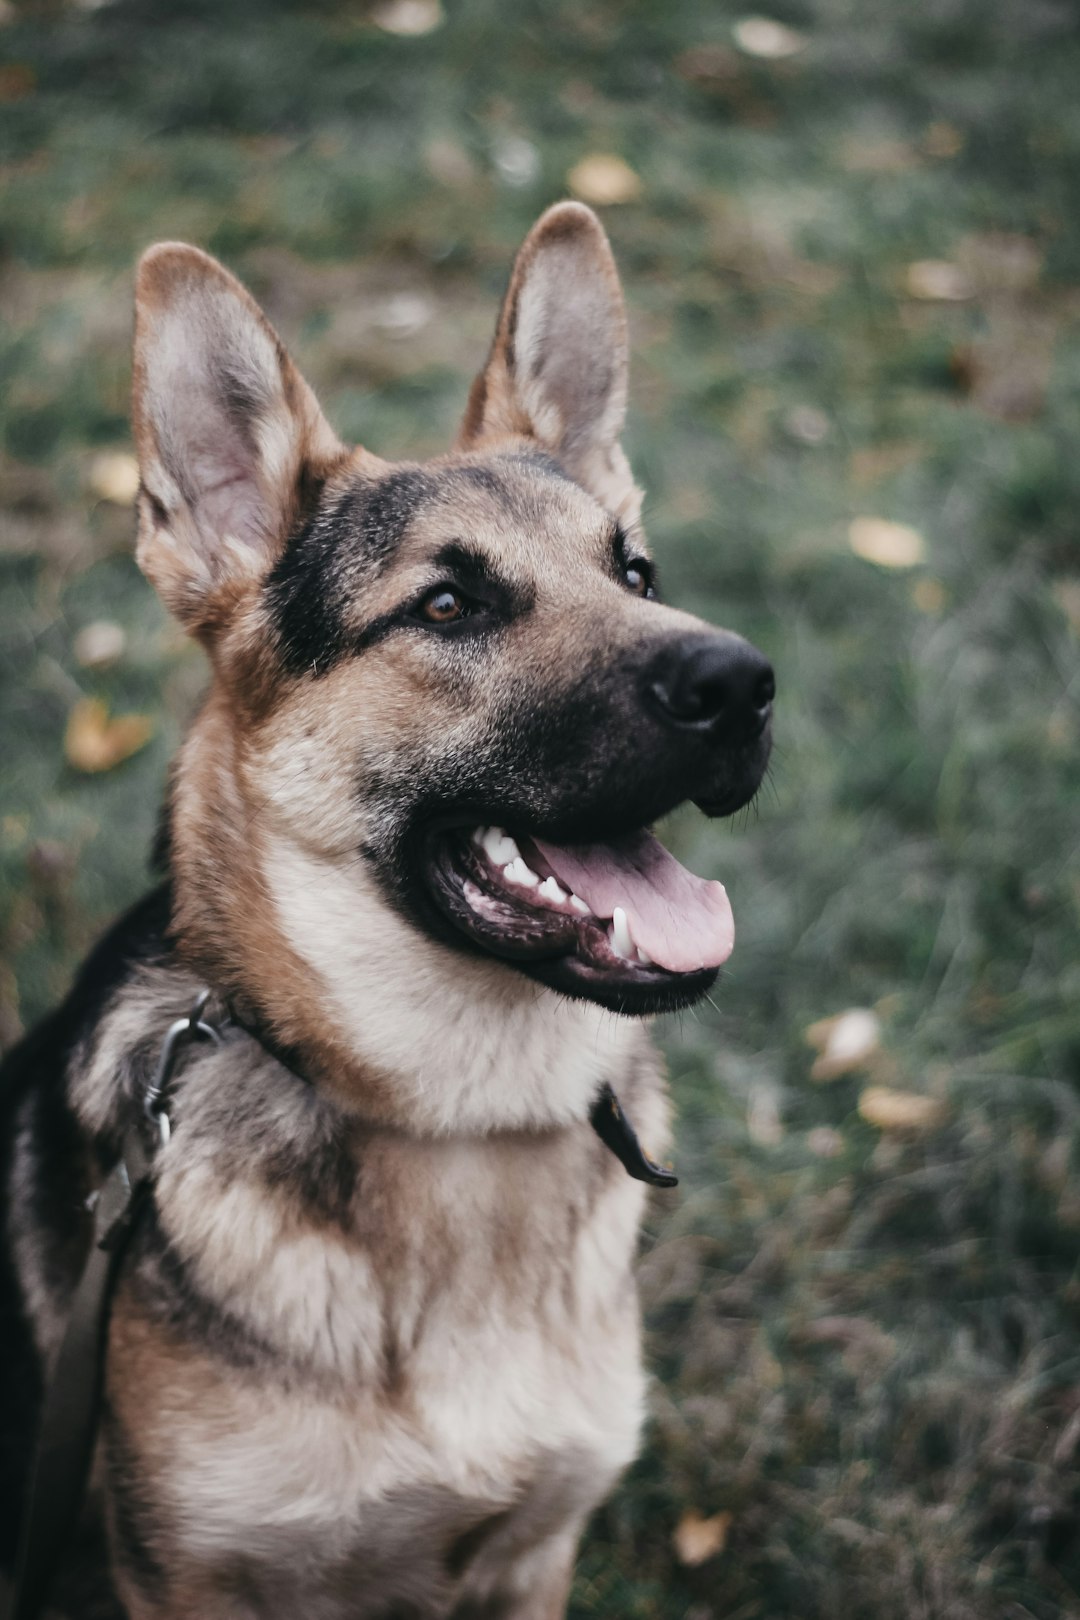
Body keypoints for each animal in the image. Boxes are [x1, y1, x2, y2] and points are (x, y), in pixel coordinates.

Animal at [2, 205, 777, 1620]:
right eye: (449, 605)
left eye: (637, 571)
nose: (745, 683)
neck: (463, 1128)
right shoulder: (187, 1584)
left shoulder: (532, 1561)